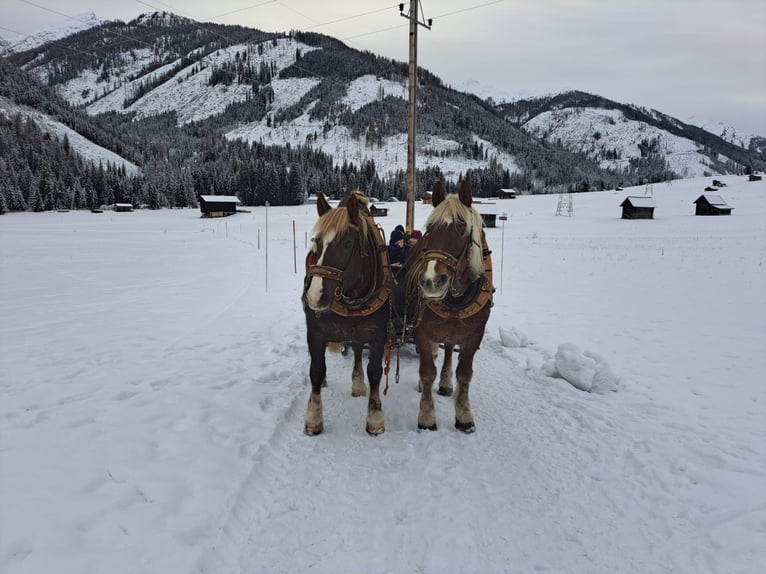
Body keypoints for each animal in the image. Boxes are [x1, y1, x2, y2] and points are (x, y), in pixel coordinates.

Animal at [304, 190, 392, 436]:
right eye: (316, 242)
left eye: (348, 243)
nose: (314, 297)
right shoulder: (315, 331)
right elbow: (316, 370)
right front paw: (313, 418)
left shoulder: (377, 333)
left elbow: (375, 372)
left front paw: (375, 418)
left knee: (358, 349)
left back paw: (358, 383)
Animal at [404, 182, 496, 434]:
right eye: (429, 229)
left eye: (462, 229)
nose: (431, 281)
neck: (456, 298)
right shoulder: (421, 330)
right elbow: (427, 372)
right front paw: (427, 416)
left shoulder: (474, 335)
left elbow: (464, 375)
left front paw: (464, 415)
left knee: (447, 348)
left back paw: (445, 383)